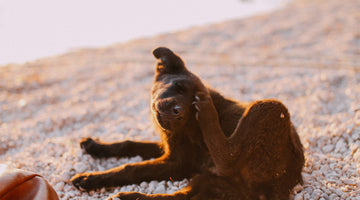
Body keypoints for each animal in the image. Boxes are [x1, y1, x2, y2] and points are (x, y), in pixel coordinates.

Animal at [70, 47, 304, 200]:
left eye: (191, 104)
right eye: (178, 86)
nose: (177, 113)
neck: (188, 126)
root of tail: (284, 183)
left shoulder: (178, 162)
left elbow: (132, 167)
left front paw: (90, 177)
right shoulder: (170, 149)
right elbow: (130, 144)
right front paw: (95, 147)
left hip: (270, 108)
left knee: (227, 158)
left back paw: (208, 113)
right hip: (212, 183)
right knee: (181, 197)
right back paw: (132, 197)